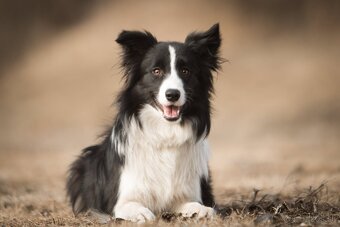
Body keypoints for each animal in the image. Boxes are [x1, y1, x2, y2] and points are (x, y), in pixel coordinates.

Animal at [66, 24, 222, 223]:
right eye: (156, 71)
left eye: (186, 71)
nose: (173, 94)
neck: (165, 134)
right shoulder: (121, 200)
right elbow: (132, 207)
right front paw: (141, 213)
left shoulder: (187, 192)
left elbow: (196, 205)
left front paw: (201, 210)